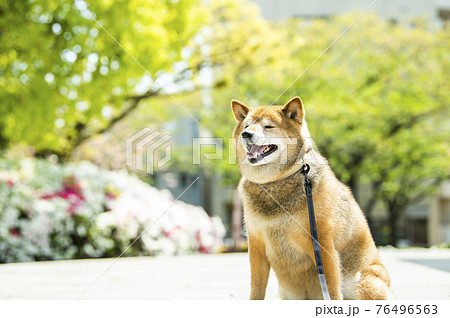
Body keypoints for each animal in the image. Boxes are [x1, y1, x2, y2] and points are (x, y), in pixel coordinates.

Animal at [230, 95, 392, 300]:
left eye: (268, 126)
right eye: (246, 126)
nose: (246, 134)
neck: (274, 182)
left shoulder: (322, 243)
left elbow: (332, 289)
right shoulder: (256, 244)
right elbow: (256, 290)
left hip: (362, 280)